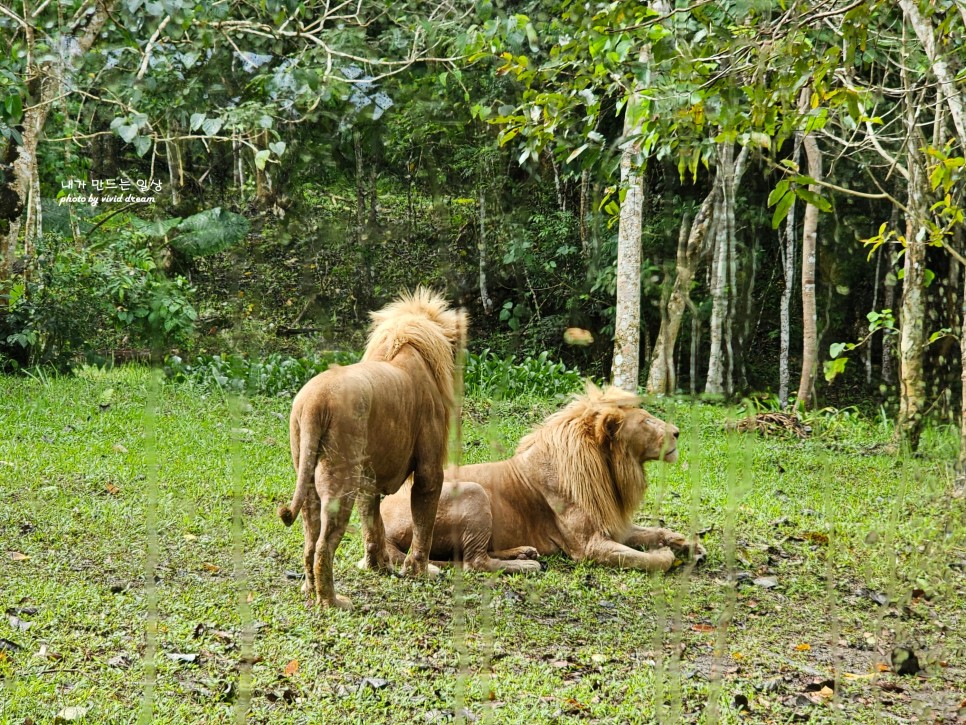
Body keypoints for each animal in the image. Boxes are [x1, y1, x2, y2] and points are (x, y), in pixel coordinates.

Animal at [382, 384, 708, 572]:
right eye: (647, 422)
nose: (677, 432)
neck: (609, 470)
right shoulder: (589, 546)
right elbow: (644, 559)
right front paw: (666, 554)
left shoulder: (614, 526)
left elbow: (656, 531)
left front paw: (690, 544)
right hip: (472, 491)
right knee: (474, 562)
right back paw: (527, 565)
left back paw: (522, 552)